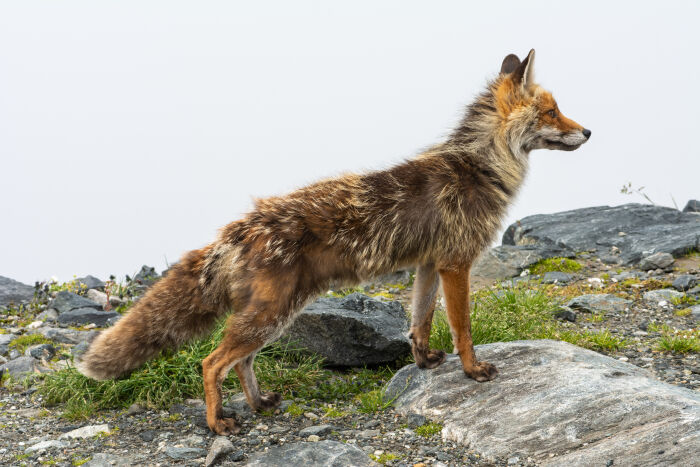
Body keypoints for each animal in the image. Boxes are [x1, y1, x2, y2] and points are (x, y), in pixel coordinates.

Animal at [78, 48, 592, 436]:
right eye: (551, 112)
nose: (588, 131)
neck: (479, 167)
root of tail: (239, 226)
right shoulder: (456, 263)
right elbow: (462, 328)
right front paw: (472, 371)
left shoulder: (429, 265)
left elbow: (420, 321)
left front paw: (424, 361)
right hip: (270, 314)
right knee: (210, 362)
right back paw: (217, 422)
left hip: (276, 315)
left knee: (240, 362)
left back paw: (259, 403)